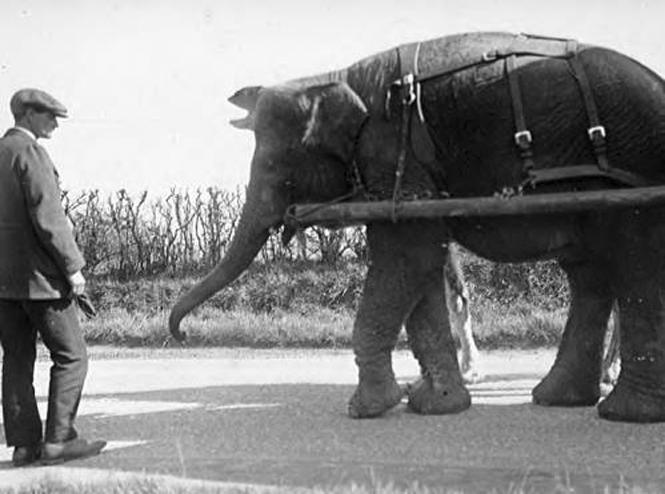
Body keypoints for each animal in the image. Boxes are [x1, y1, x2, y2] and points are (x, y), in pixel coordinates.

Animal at [170, 30, 665, 422]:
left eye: (274, 166)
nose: (181, 335)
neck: (335, 76)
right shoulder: (409, 183)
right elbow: (421, 267)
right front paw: (433, 404)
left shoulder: (393, 154)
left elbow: (407, 258)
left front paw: (367, 409)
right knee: (590, 273)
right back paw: (559, 398)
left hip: (631, 167)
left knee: (633, 264)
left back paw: (623, 413)